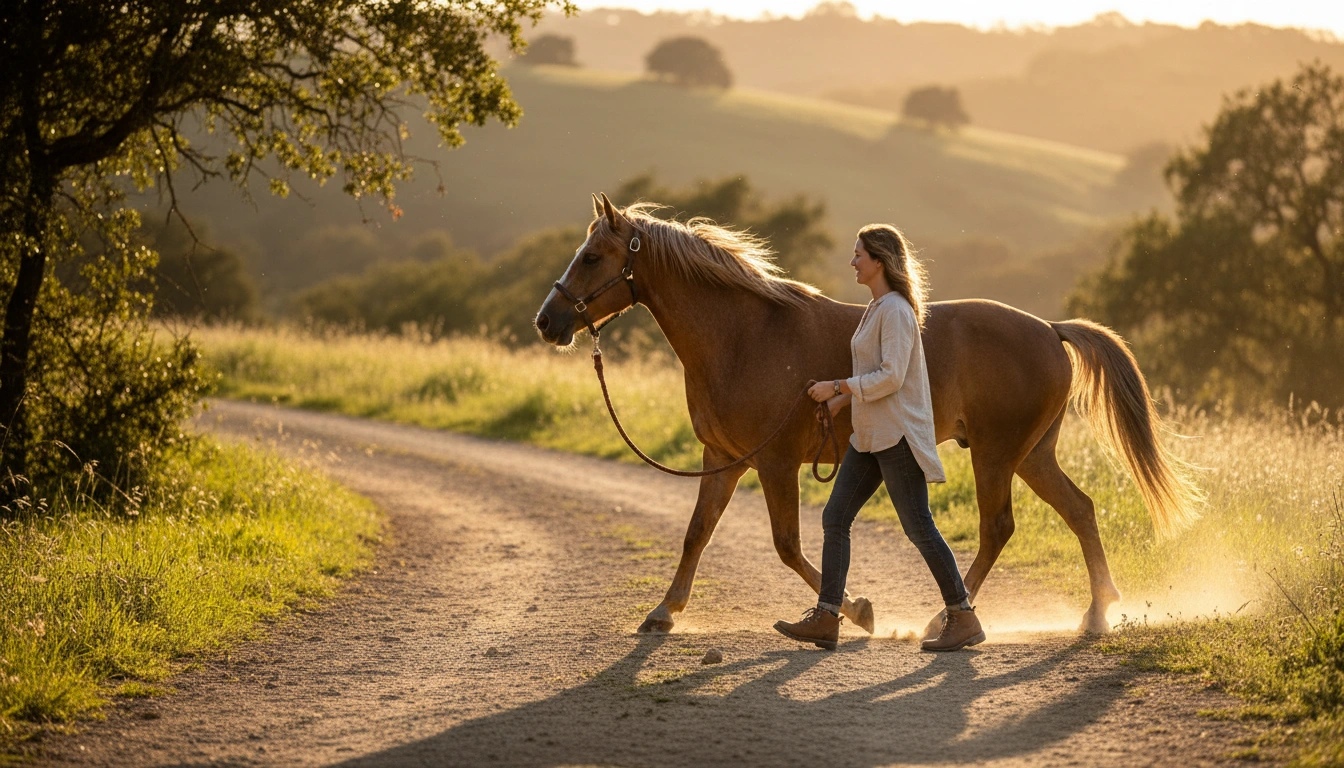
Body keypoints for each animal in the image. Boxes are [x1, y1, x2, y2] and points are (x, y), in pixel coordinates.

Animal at [534, 193, 1200, 636]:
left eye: (592, 256)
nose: (547, 322)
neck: (744, 336)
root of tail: (1050, 330)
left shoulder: (774, 463)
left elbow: (786, 545)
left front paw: (855, 611)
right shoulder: (722, 458)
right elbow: (697, 533)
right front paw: (662, 612)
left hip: (997, 454)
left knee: (997, 528)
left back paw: (944, 622)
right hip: (1032, 455)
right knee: (1081, 511)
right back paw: (1096, 613)